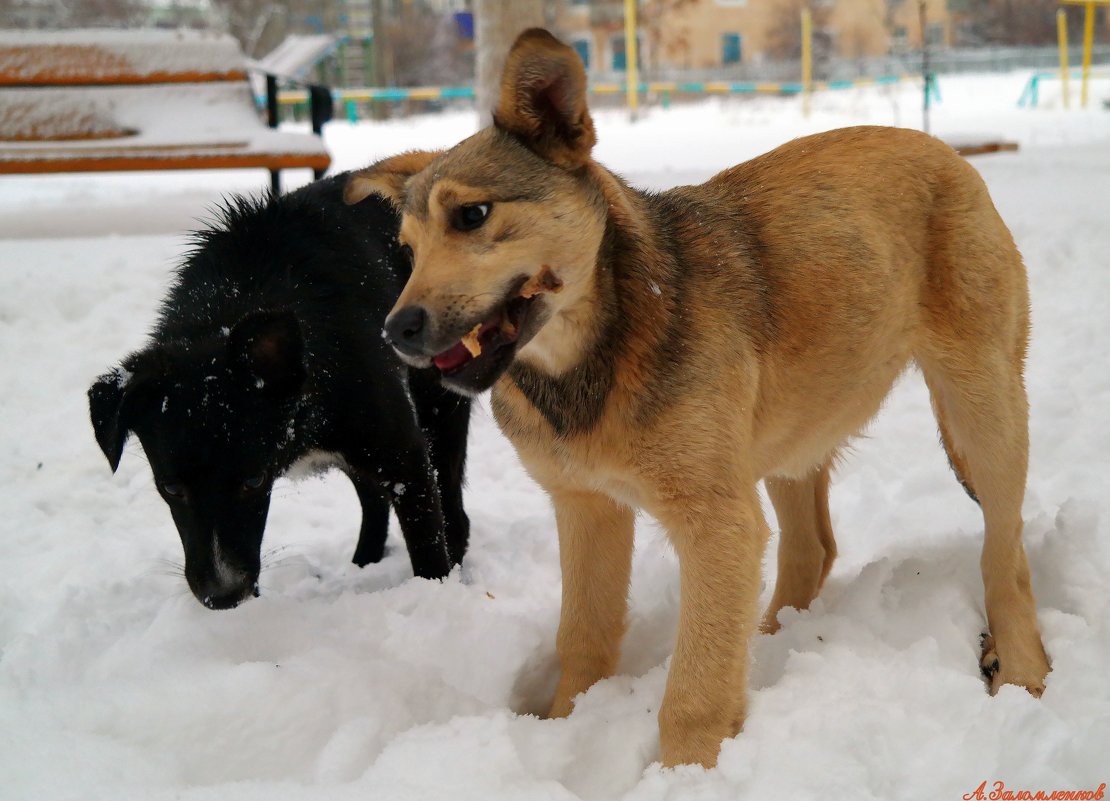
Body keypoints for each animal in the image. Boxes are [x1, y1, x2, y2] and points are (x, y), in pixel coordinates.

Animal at [86, 173, 468, 603]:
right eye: (171, 487)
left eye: (253, 481)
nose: (223, 596)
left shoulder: (404, 456)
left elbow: (428, 546)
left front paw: (436, 591)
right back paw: (363, 564)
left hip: (438, 408)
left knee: (453, 508)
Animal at [344, 29, 1047, 767]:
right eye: (405, 249)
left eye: (473, 215)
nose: (397, 329)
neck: (600, 351)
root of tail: (943, 150)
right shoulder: (587, 508)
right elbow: (584, 636)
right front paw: (566, 724)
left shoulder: (717, 524)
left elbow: (693, 686)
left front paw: (686, 769)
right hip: (787, 440)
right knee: (813, 549)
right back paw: (775, 645)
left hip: (981, 410)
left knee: (1005, 548)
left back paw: (1020, 664)